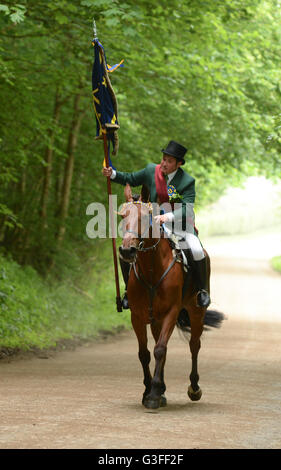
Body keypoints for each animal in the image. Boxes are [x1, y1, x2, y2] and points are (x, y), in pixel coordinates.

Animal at [118, 182, 223, 410]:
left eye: (144, 217)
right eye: (122, 216)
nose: (127, 251)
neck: (151, 268)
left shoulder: (171, 312)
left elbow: (160, 349)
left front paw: (154, 394)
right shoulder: (137, 316)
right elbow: (145, 353)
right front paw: (149, 390)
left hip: (196, 311)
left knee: (194, 345)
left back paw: (194, 388)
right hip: (155, 319)